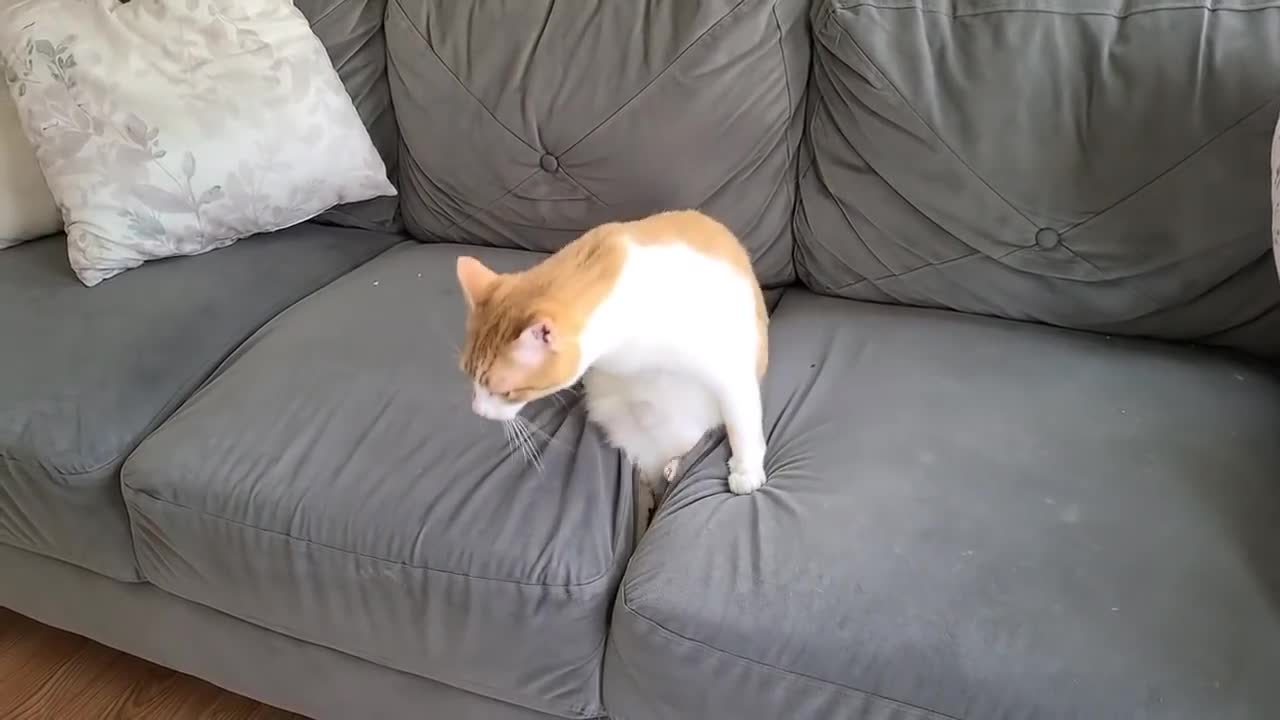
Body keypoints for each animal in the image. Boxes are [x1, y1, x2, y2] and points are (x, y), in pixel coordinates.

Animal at [453, 210, 762, 535]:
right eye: (469, 376)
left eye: (507, 392)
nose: (477, 410)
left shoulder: (730, 367)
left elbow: (742, 421)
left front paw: (746, 472)